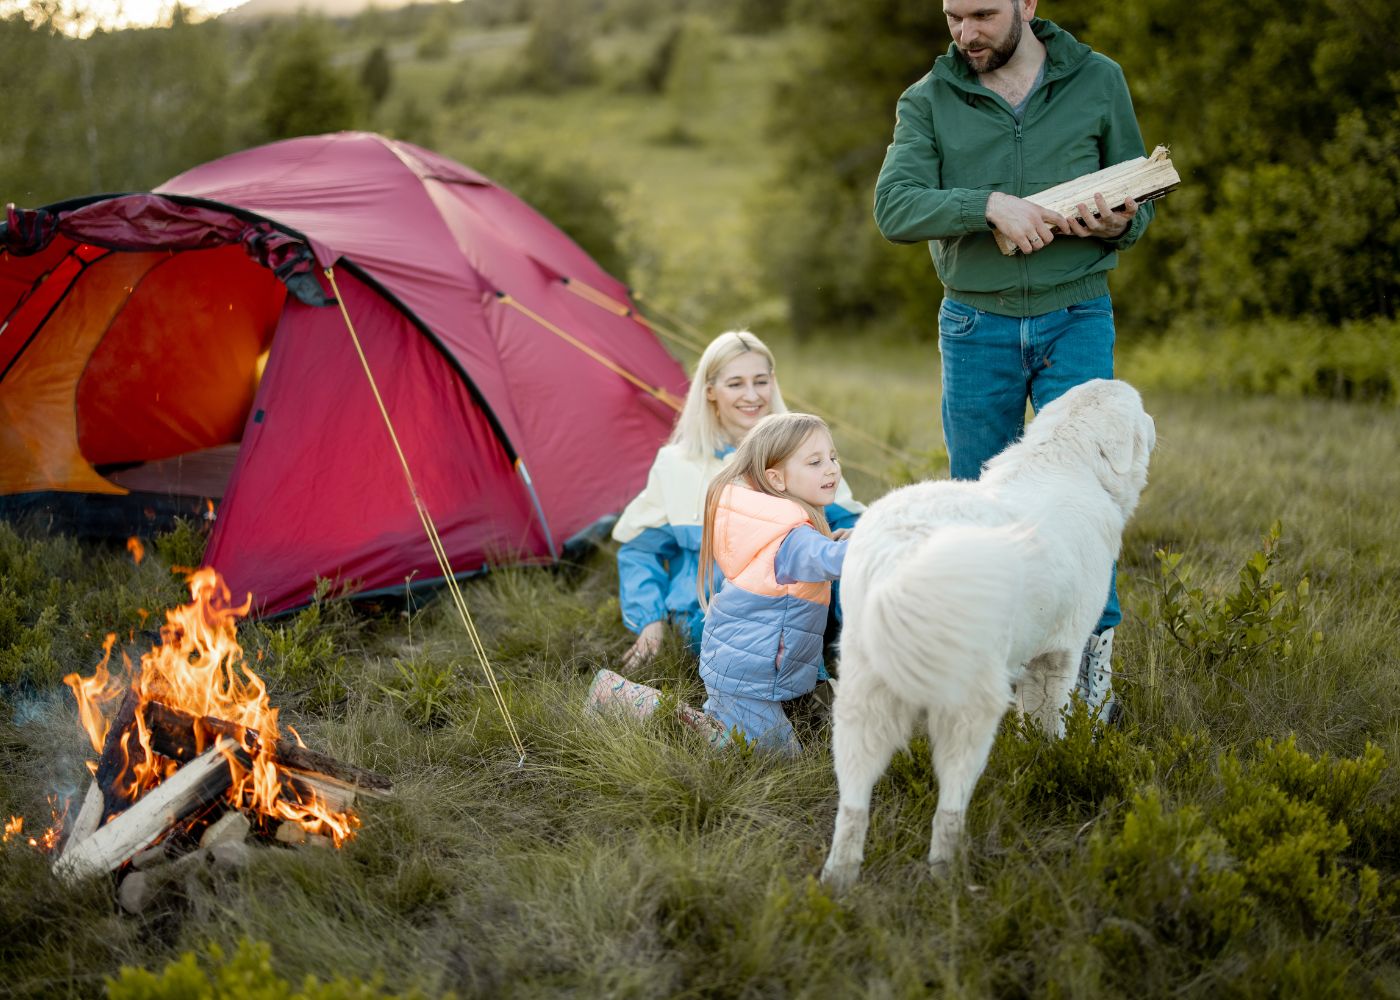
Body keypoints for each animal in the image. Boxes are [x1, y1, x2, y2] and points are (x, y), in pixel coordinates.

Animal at [817, 378, 1153, 885]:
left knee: (853, 802)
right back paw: (949, 873)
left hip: (861, 697)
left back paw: (839, 878)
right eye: (1141, 411)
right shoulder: (1061, 651)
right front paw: (1057, 758)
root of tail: (904, 557)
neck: (1069, 460)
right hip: (965, 707)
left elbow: (1030, 715)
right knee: (949, 807)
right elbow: (1052, 716)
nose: (1155, 425)